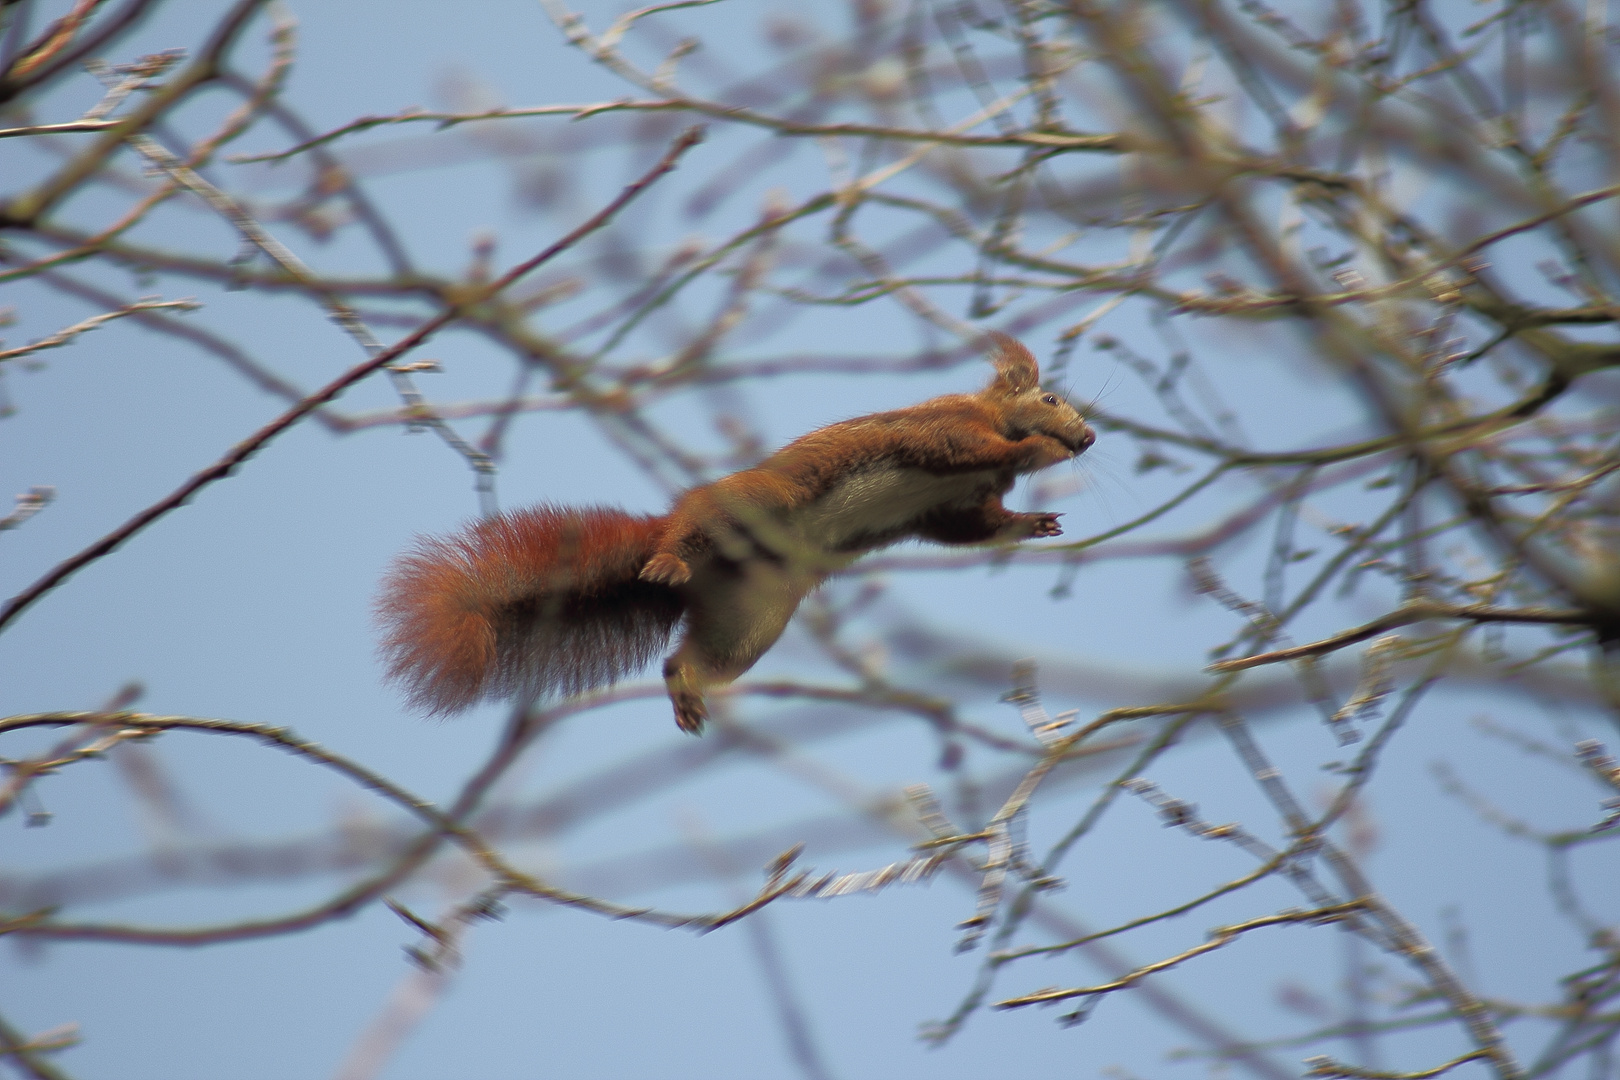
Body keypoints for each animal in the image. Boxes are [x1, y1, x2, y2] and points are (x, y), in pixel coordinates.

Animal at [372, 330, 1095, 735]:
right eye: (1051, 399)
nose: (1088, 438)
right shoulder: (943, 430)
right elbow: (965, 449)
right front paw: (1030, 449)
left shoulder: (956, 508)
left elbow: (973, 528)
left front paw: (1034, 522)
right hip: (752, 503)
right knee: (687, 536)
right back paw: (668, 561)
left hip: (749, 620)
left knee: (684, 659)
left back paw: (686, 691)